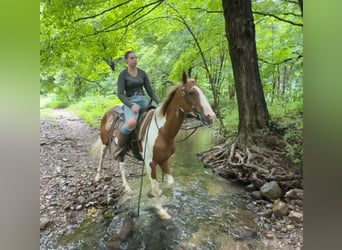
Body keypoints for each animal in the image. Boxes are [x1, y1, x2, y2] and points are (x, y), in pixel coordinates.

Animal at [89, 72, 215, 219]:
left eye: (202, 91)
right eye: (191, 92)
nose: (211, 116)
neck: (162, 130)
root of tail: (108, 112)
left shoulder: (164, 160)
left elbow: (169, 183)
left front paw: (152, 195)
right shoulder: (150, 162)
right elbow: (156, 187)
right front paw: (161, 210)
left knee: (121, 164)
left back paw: (127, 188)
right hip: (105, 141)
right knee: (103, 155)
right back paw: (100, 177)